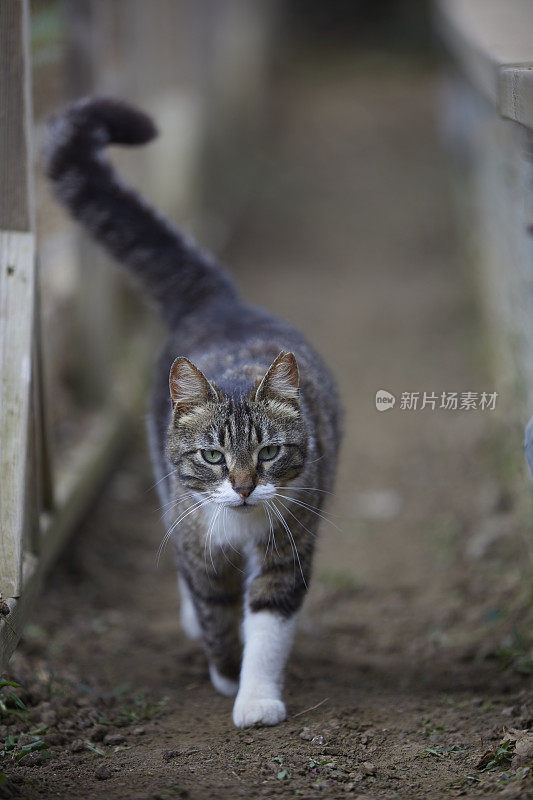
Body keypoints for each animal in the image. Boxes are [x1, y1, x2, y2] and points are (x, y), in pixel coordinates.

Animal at [45, 97, 340, 728]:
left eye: (269, 452)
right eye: (212, 456)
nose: (245, 487)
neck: (241, 527)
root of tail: (219, 303)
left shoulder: (289, 546)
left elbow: (269, 622)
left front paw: (256, 697)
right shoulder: (198, 545)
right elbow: (213, 610)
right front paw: (226, 671)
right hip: (166, 490)